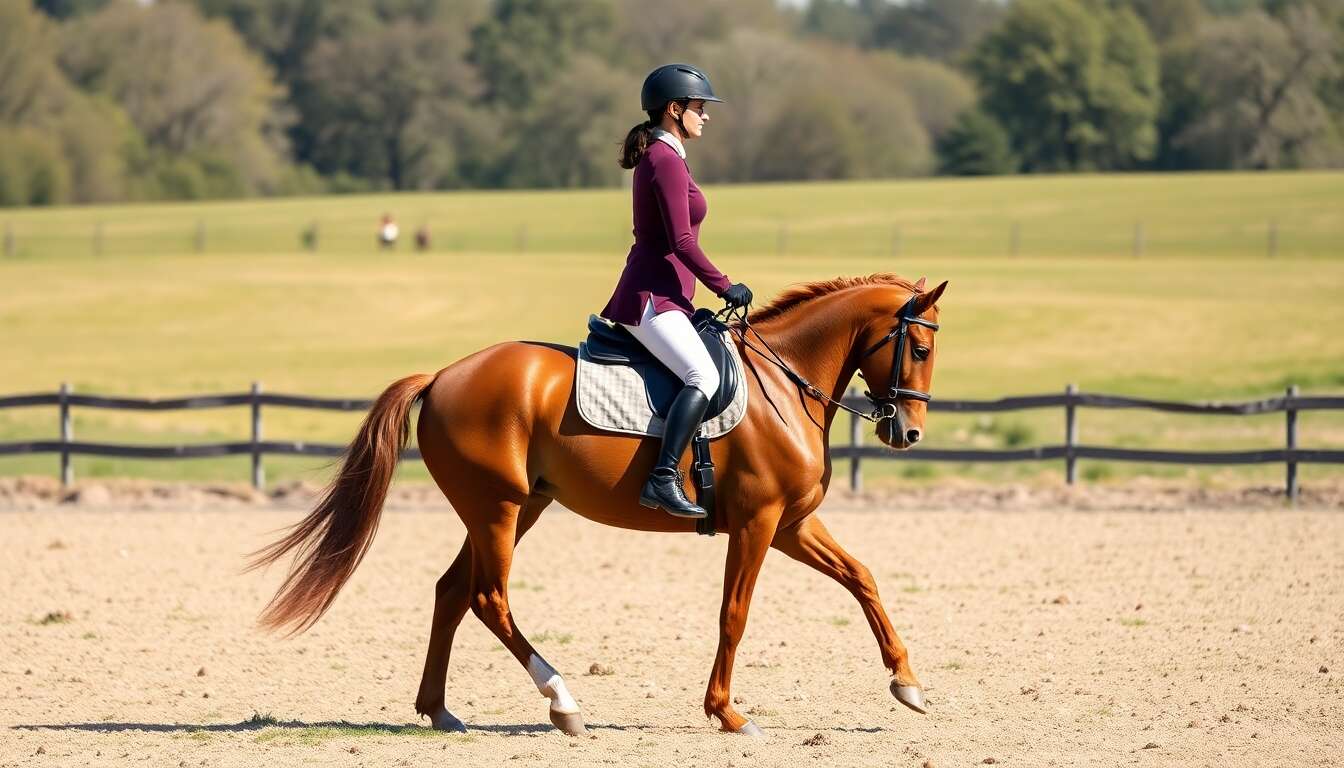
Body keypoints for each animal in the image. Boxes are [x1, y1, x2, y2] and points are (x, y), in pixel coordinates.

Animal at [249, 273, 947, 737]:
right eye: (919, 348)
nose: (909, 433)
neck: (786, 381)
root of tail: (443, 375)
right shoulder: (757, 523)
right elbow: (735, 613)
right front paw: (726, 712)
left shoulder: (790, 523)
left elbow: (862, 578)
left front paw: (907, 684)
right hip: (498, 510)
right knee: (487, 598)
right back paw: (563, 704)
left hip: (514, 509)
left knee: (452, 592)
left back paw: (441, 710)